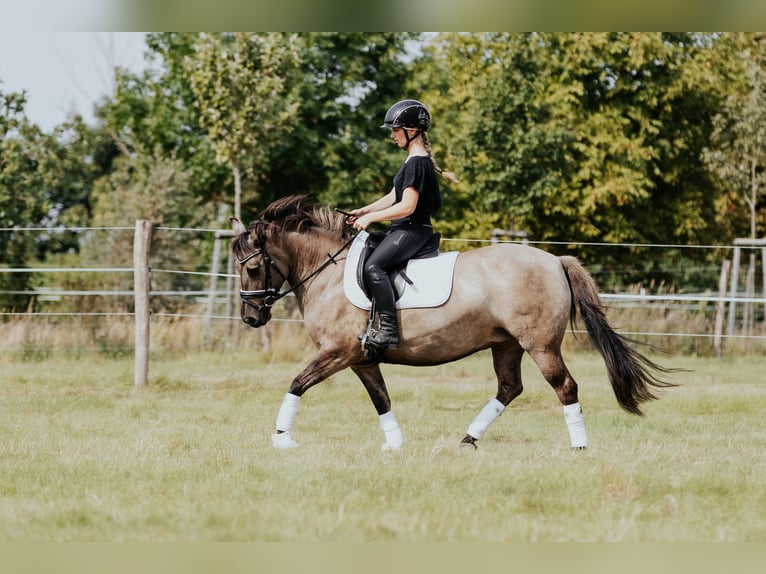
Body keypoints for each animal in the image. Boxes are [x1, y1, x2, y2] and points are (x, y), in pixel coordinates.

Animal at [231, 196, 680, 452]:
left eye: (252, 267)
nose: (251, 317)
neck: (328, 270)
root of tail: (555, 260)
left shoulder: (337, 352)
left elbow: (297, 383)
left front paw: (282, 438)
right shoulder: (361, 359)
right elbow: (381, 399)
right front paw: (395, 444)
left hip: (539, 345)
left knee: (564, 387)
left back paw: (579, 447)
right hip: (506, 344)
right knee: (509, 388)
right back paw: (468, 440)